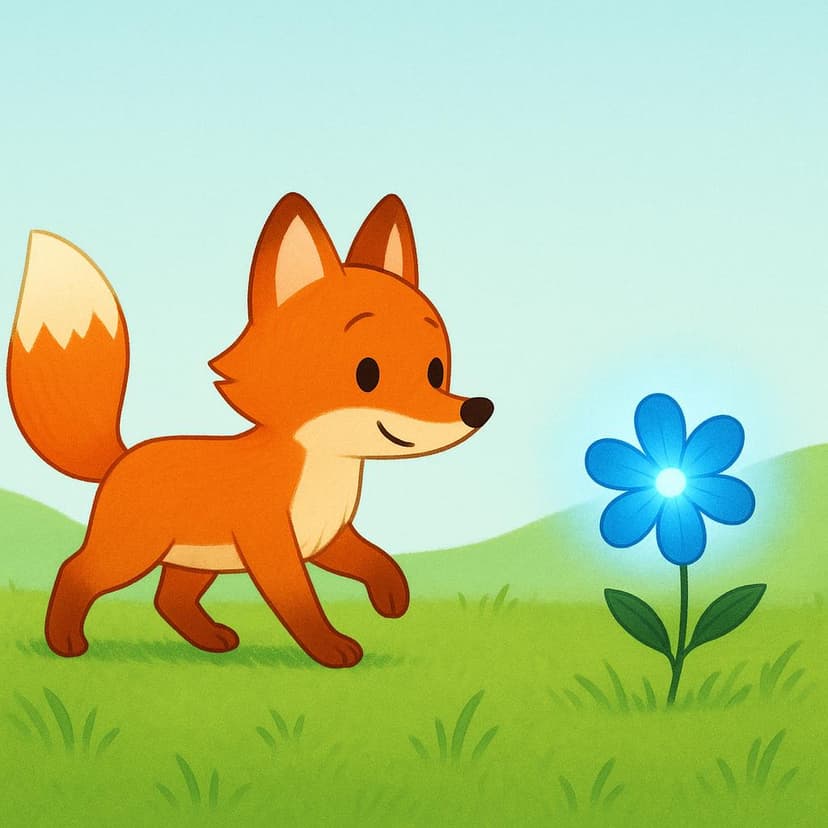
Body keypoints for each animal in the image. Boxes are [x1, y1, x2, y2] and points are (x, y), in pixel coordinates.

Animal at [7, 193, 493, 668]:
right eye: (367, 373)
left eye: (436, 371)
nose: (478, 409)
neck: (321, 465)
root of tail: (121, 457)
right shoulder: (272, 545)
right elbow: (300, 601)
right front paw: (331, 649)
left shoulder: (328, 538)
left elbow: (374, 559)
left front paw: (392, 598)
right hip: (130, 552)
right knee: (76, 570)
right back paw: (65, 642)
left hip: (196, 560)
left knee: (169, 600)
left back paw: (211, 640)